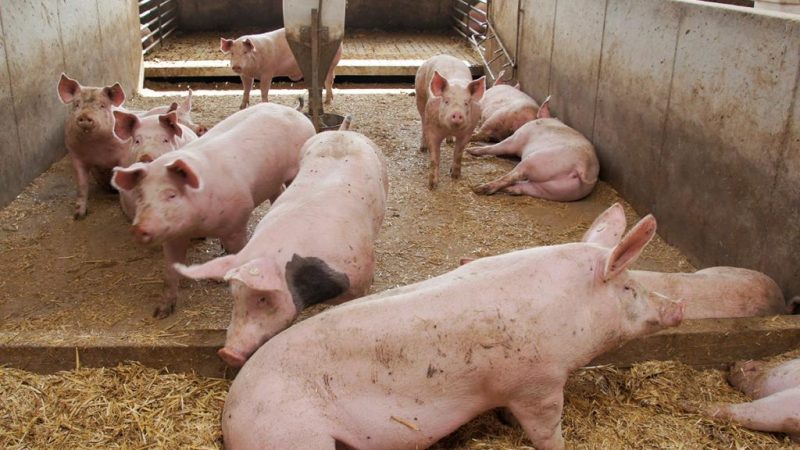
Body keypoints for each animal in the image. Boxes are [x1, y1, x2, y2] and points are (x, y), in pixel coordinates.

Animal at [57, 73, 130, 219]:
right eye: (77, 104)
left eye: (102, 105)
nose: (85, 116)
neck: (96, 149)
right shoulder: (75, 155)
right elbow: (82, 185)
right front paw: (78, 215)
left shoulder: (124, 155)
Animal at [111, 103, 316, 318]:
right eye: (141, 194)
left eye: (172, 195)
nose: (137, 228)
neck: (199, 225)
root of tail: (292, 111)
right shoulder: (173, 236)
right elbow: (170, 272)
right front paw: (160, 312)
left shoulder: (237, 222)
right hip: (272, 182)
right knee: (278, 192)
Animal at [221, 213, 684, 449]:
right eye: (629, 288)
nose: (678, 308)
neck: (571, 307)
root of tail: (231, 412)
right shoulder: (539, 383)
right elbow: (547, 432)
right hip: (292, 435)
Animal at [415, 54, 486, 189]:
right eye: (446, 101)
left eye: (466, 103)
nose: (457, 114)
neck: (451, 129)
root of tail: (443, 55)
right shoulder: (432, 129)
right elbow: (434, 158)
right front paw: (432, 185)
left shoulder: (468, 131)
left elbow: (458, 152)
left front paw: (455, 176)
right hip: (420, 95)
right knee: (422, 122)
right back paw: (423, 148)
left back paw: (449, 141)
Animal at [468, 98, 600, 201]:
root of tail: (583, 166)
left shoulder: (517, 139)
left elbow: (496, 148)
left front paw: (471, 149)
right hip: (558, 191)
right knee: (522, 188)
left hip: (536, 160)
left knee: (514, 176)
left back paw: (478, 188)